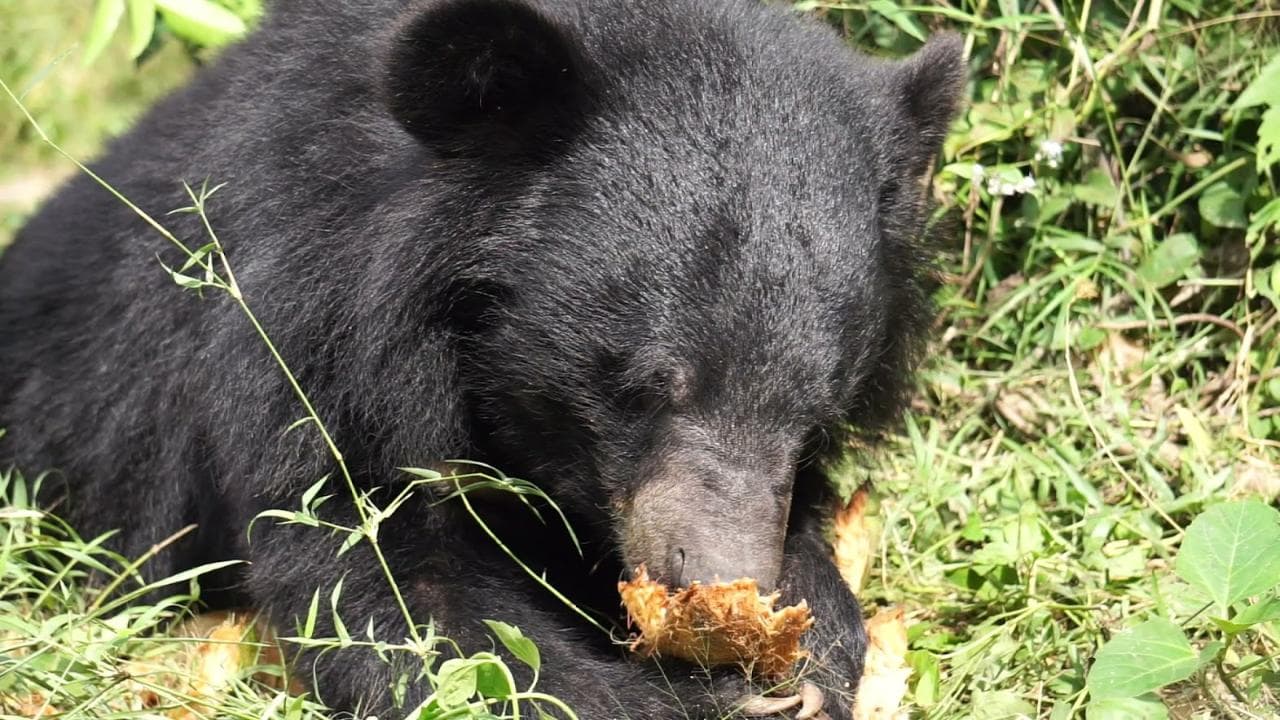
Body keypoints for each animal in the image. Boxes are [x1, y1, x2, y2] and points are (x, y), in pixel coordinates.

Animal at [0, 0, 964, 717]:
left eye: (815, 414)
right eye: (648, 384)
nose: (720, 581)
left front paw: (811, 649)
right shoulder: (308, 342)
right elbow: (388, 592)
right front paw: (719, 699)